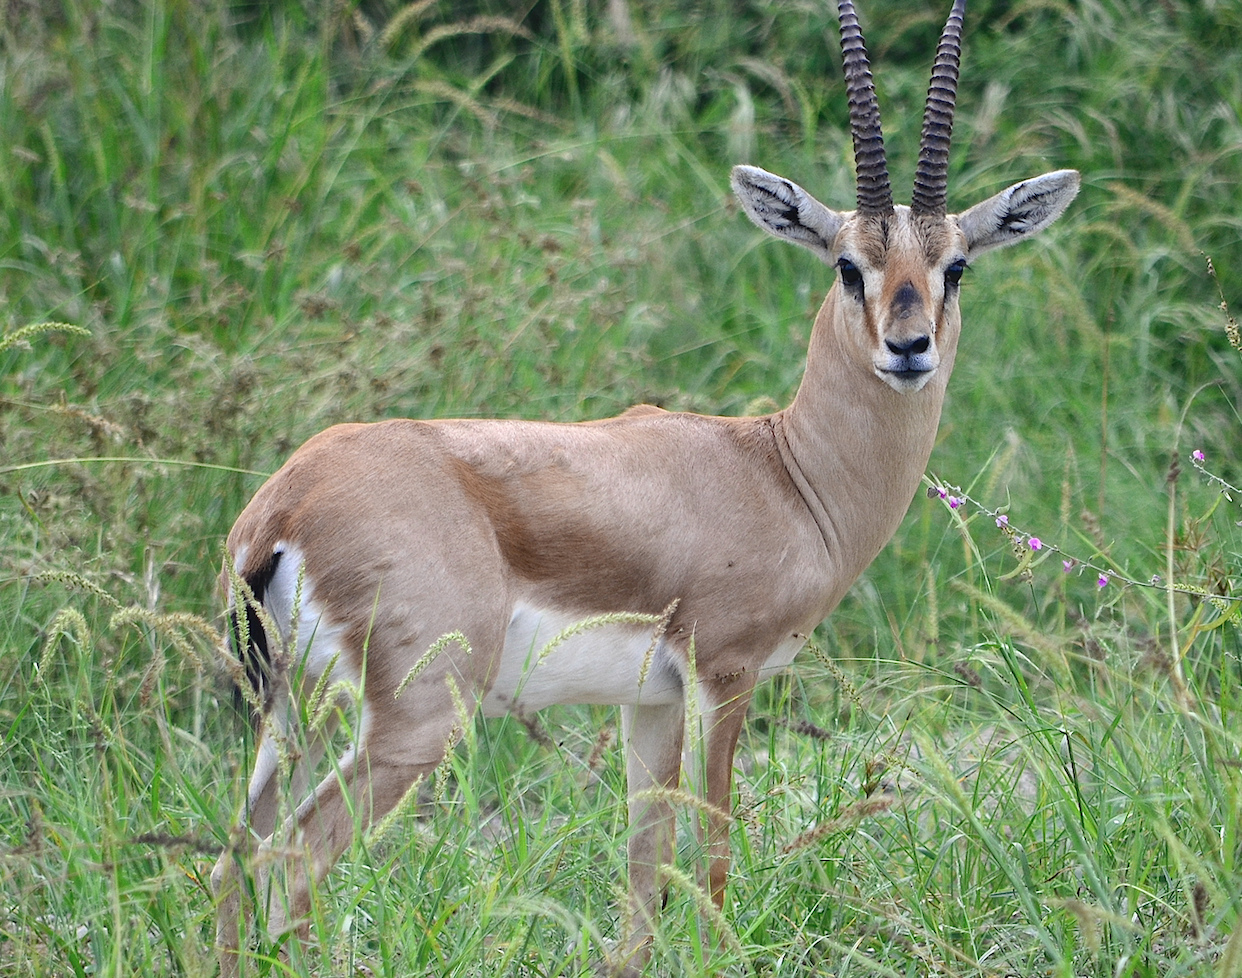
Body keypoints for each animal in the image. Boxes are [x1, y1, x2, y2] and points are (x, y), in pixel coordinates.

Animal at [212, 0, 1079, 973]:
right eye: (847, 264)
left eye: (955, 266)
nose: (908, 348)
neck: (781, 469)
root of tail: (283, 503)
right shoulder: (724, 675)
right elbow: (711, 853)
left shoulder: (650, 704)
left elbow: (642, 869)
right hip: (414, 721)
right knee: (293, 859)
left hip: (291, 714)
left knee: (234, 857)